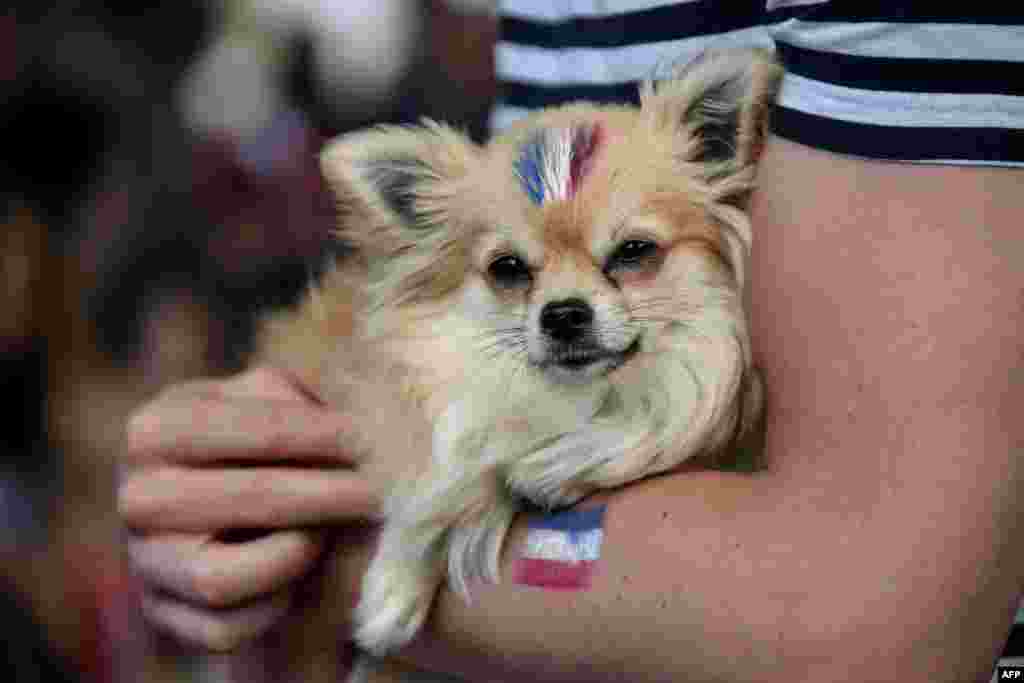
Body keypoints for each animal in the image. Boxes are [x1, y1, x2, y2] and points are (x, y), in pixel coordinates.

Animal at [262, 49, 782, 683]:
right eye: (508, 269)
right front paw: (393, 587)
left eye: (633, 251)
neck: (579, 399)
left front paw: (556, 464)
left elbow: (641, 433)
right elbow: (447, 465)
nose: (563, 314)